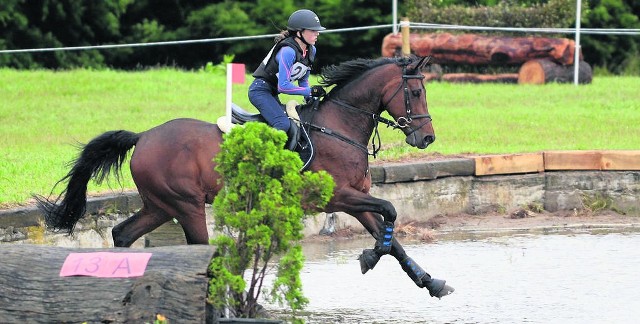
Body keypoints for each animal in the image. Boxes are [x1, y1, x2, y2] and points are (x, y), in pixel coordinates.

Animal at [36, 55, 456, 298]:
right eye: (417, 92)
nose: (427, 137)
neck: (339, 126)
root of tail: (144, 136)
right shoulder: (338, 198)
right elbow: (391, 212)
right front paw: (369, 256)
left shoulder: (356, 200)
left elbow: (392, 237)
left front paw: (430, 282)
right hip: (186, 205)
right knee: (197, 249)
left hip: (160, 206)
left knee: (123, 233)